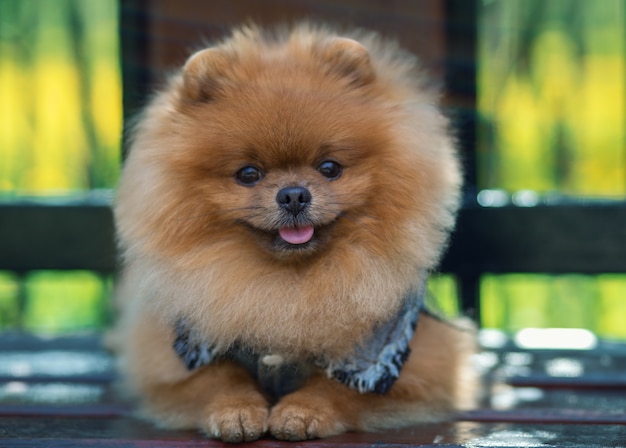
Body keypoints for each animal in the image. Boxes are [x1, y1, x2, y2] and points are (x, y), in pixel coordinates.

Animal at [109, 23, 476, 440]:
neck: (288, 286)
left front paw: (302, 411)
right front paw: (236, 410)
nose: (294, 194)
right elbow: (217, 378)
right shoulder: (179, 353)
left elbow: (336, 387)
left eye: (330, 168)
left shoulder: (396, 359)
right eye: (248, 174)